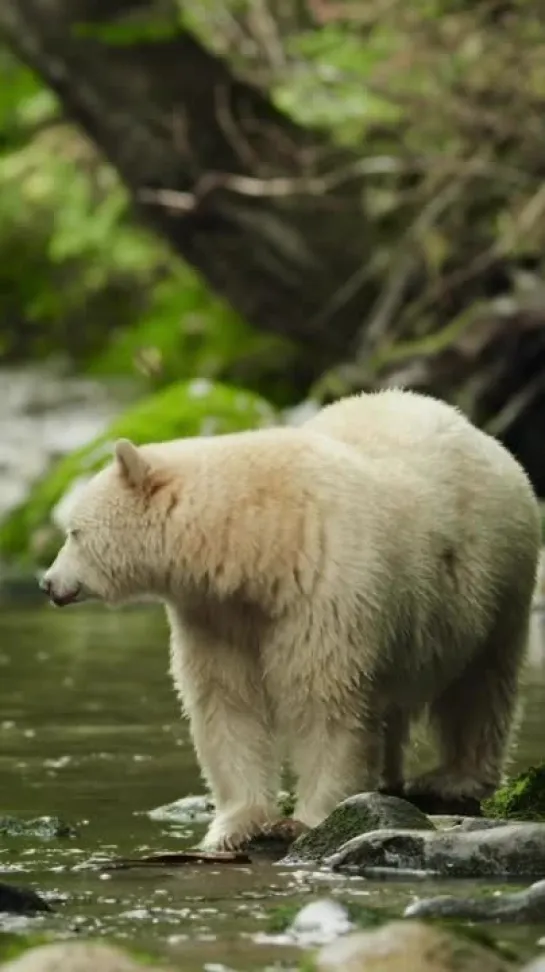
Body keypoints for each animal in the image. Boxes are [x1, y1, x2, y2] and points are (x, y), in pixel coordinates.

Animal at [41, 390, 540, 852]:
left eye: (74, 532)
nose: (48, 583)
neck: (258, 544)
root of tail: (477, 431)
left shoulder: (324, 590)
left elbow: (324, 701)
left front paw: (308, 819)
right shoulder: (214, 613)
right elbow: (225, 703)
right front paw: (234, 826)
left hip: (493, 580)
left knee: (479, 684)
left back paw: (457, 777)